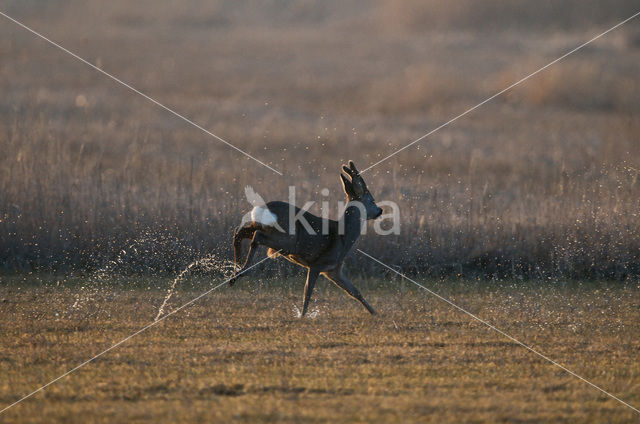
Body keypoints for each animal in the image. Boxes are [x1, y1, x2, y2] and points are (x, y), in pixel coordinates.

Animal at [230, 161, 380, 316]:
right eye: (372, 200)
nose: (380, 211)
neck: (344, 238)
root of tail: (263, 208)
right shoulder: (318, 264)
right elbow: (307, 292)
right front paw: (302, 315)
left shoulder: (333, 270)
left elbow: (355, 292)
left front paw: (375, 313)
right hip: (287, 240)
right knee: (256, 236)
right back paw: (240, 272)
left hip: (263, 228)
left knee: (239, 231)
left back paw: (236, 267)